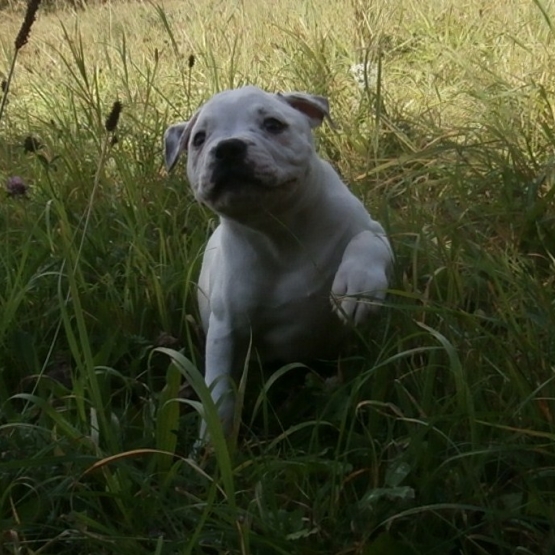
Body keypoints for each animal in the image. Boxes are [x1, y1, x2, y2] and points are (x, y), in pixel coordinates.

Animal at [165, 87, 396, 444]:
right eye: (200, 139)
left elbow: (365, 241)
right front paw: (212, 444)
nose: (228, 148)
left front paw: (357, 289)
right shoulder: (225, 330)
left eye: (273, 124)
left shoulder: (371, 229)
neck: (279, 229)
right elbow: (219, 390)